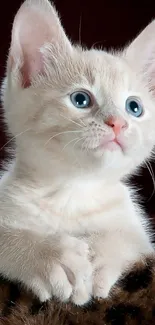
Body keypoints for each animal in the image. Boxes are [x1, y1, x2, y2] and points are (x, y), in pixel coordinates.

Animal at [0, 0, 155, 306]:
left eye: (134, 107)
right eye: (81, 99)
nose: (118, 123)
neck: (72, 191)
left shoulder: (140, 237)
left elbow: (128, 237)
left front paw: (99, 257)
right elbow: (6, 236)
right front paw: (48, 256)